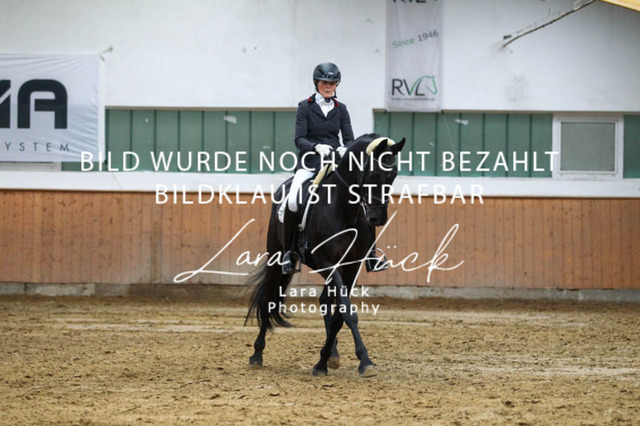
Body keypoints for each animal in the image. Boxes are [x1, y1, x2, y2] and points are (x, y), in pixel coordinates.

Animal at [245, 133, 405, 377]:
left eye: (393, 174)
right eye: (375, 174)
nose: (378, 219)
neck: (345, 209)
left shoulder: (351, 266)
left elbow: (340, 315)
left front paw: (325, 360)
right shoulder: (330, 264)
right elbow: (347, 312)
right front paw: (364, 361)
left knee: (324, 301)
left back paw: (332, 355)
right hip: (276, 256)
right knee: (269, 299)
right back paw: (257, 354)